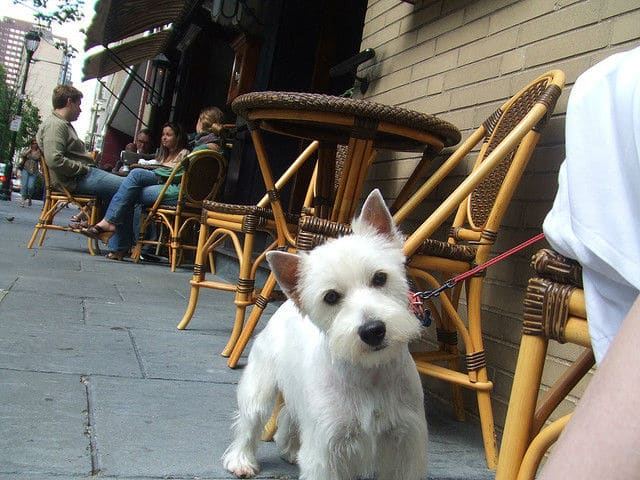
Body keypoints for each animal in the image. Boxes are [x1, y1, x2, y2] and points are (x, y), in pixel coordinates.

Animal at [222, 190, 428, 480]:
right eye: (331, 297)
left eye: (380, 278)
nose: (373, 331)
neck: (369, 374)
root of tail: (286, 303)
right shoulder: (327, 447)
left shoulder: (406, 440)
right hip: (260, 385)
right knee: (250, 420)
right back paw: (241, 460)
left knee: (289, 415)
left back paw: (289, 448)